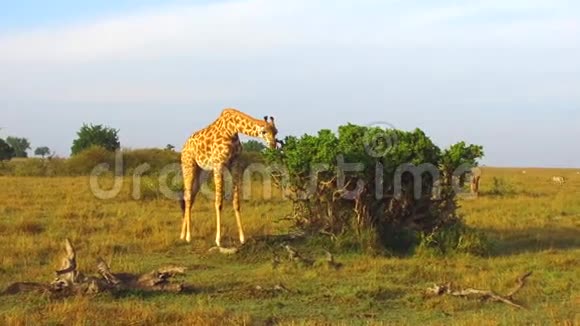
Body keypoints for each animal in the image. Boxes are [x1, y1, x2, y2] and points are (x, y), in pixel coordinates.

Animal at [180, 108, 278, 246]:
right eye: (264, 131)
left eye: (276, 132)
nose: (273, 145)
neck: (232, 130)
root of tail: (184, 146)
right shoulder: (218, 164)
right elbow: (219, 202)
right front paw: (218, 240)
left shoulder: (235, 163)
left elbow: (236, 202)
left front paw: (242, 237)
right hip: (188, 165)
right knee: (187, 196)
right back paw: (188, 236)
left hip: (202, 172)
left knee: (191, 196)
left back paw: (182, 235)